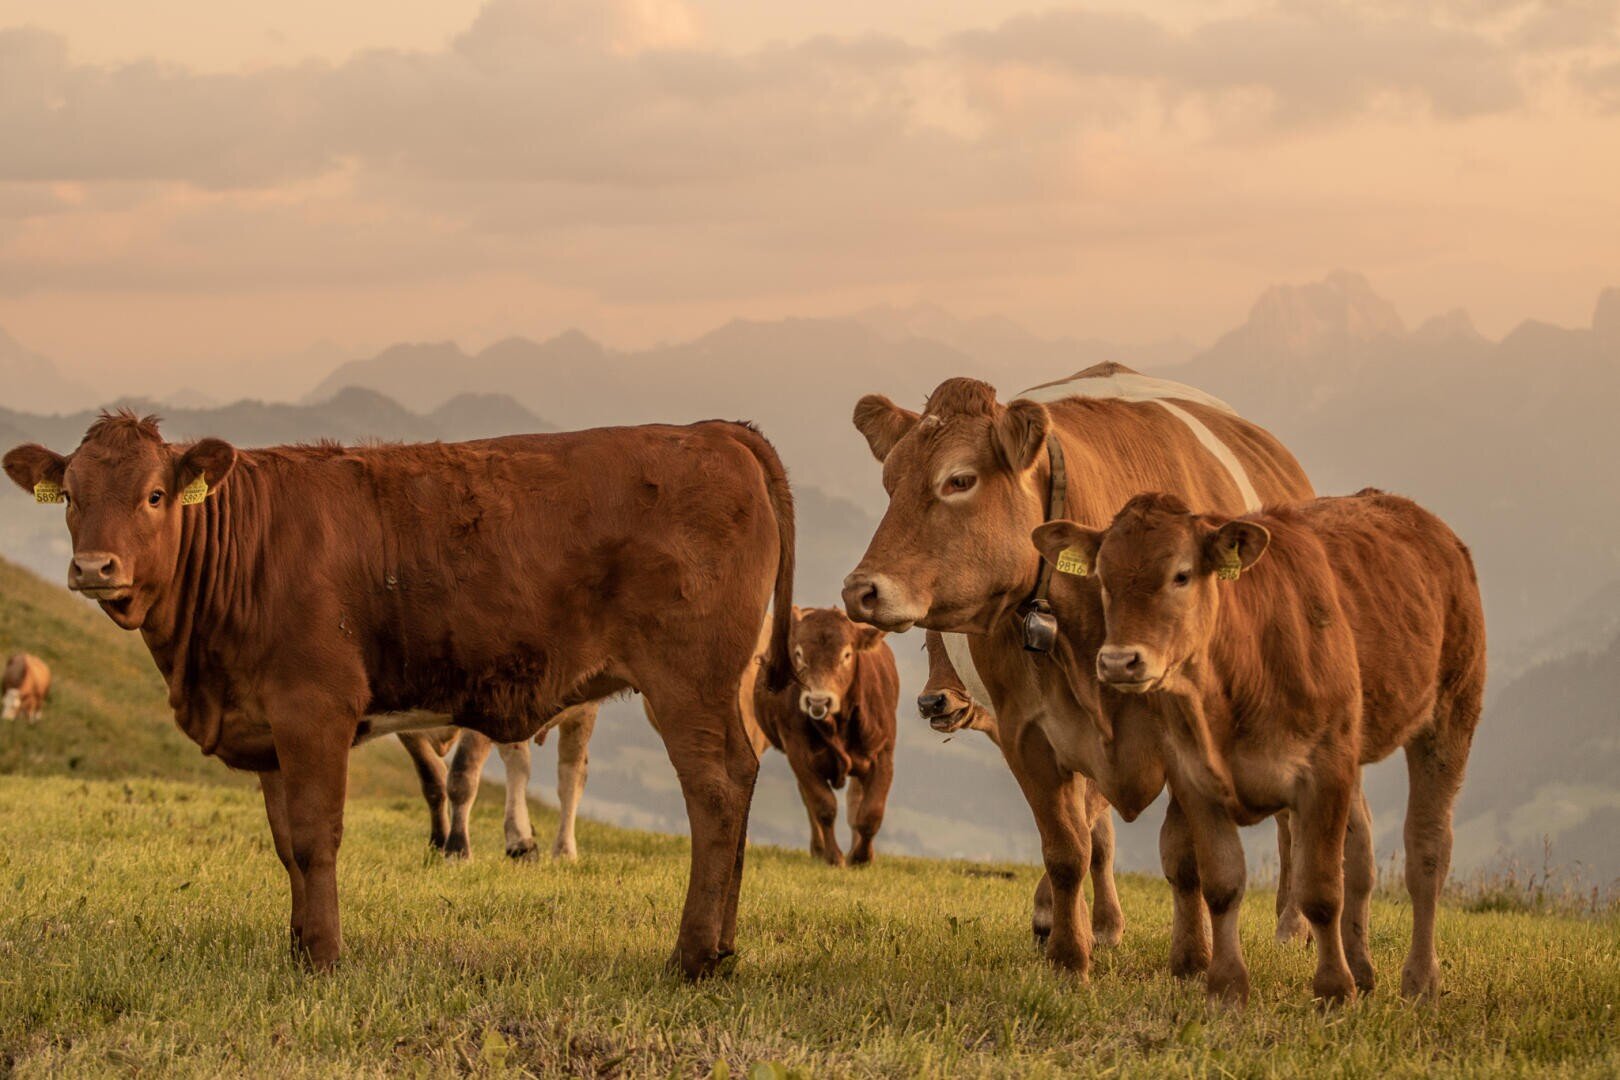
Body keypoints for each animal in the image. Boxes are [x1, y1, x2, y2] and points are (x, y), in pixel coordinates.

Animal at [397, 700, 599, 862]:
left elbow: (461, 777)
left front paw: (457, 851)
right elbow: (432, 778)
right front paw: (438, 845)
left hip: (583, 708)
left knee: (571, 773)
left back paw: (564, 853)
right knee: (518, 761)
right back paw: (520, 842)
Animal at [751, 606, 899, 866]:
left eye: (847, 655)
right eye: (799, 654)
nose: (818, 701)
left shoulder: (883, 754)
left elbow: (871, 813)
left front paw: (861, 857)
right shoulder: (799, 754)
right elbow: (823, 807)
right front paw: (833, 856)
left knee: (855, 800)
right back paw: (819, 849)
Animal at [842, 364, 1318, 981]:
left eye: (960, 480)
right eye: (889, 482)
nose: (860, 589)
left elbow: (1183, 856)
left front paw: (1192, 958)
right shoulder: (1028, 734)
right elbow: (1070, 846)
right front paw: (1071, 952)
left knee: (1288, 823)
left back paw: (1292, 928)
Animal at [1033, 490, 1484, 1004]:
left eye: (1181, 574)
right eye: (1103, 579)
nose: (1117, 661)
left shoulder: (1324, 768)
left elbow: (1321, 889)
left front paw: (1334, 989)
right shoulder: (1193, 775)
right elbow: (1223, 883)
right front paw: (1226, 987)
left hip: (1452, 712)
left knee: (1427, 852)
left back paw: (1420, 981)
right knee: (1362, 853)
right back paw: (1364, 969)